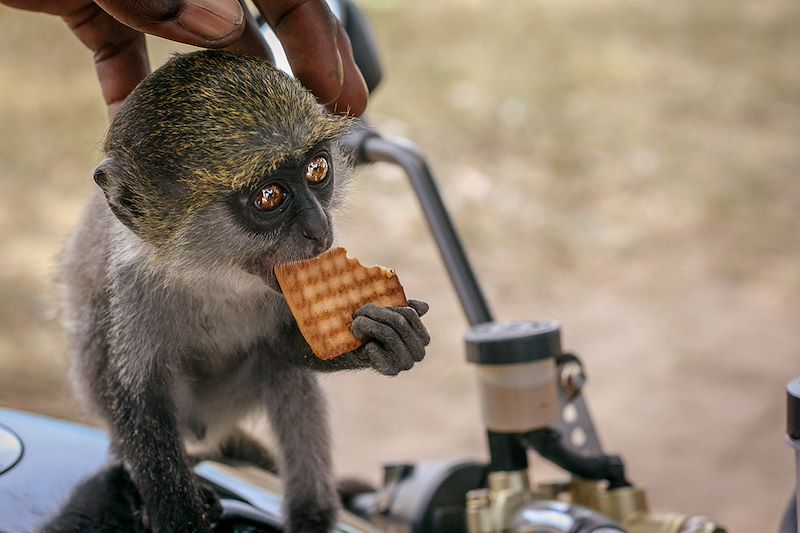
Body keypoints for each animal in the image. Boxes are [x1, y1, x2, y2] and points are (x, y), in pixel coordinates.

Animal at [57, 50, 432, 532]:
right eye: (269, 196)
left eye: (317, 170)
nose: (319, 228)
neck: (215, 274)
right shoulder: (131, 284)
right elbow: (137, 396)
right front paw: (180, 516)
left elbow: (281, 348)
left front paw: (380, 340)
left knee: (283, 374)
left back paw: (312, 514)